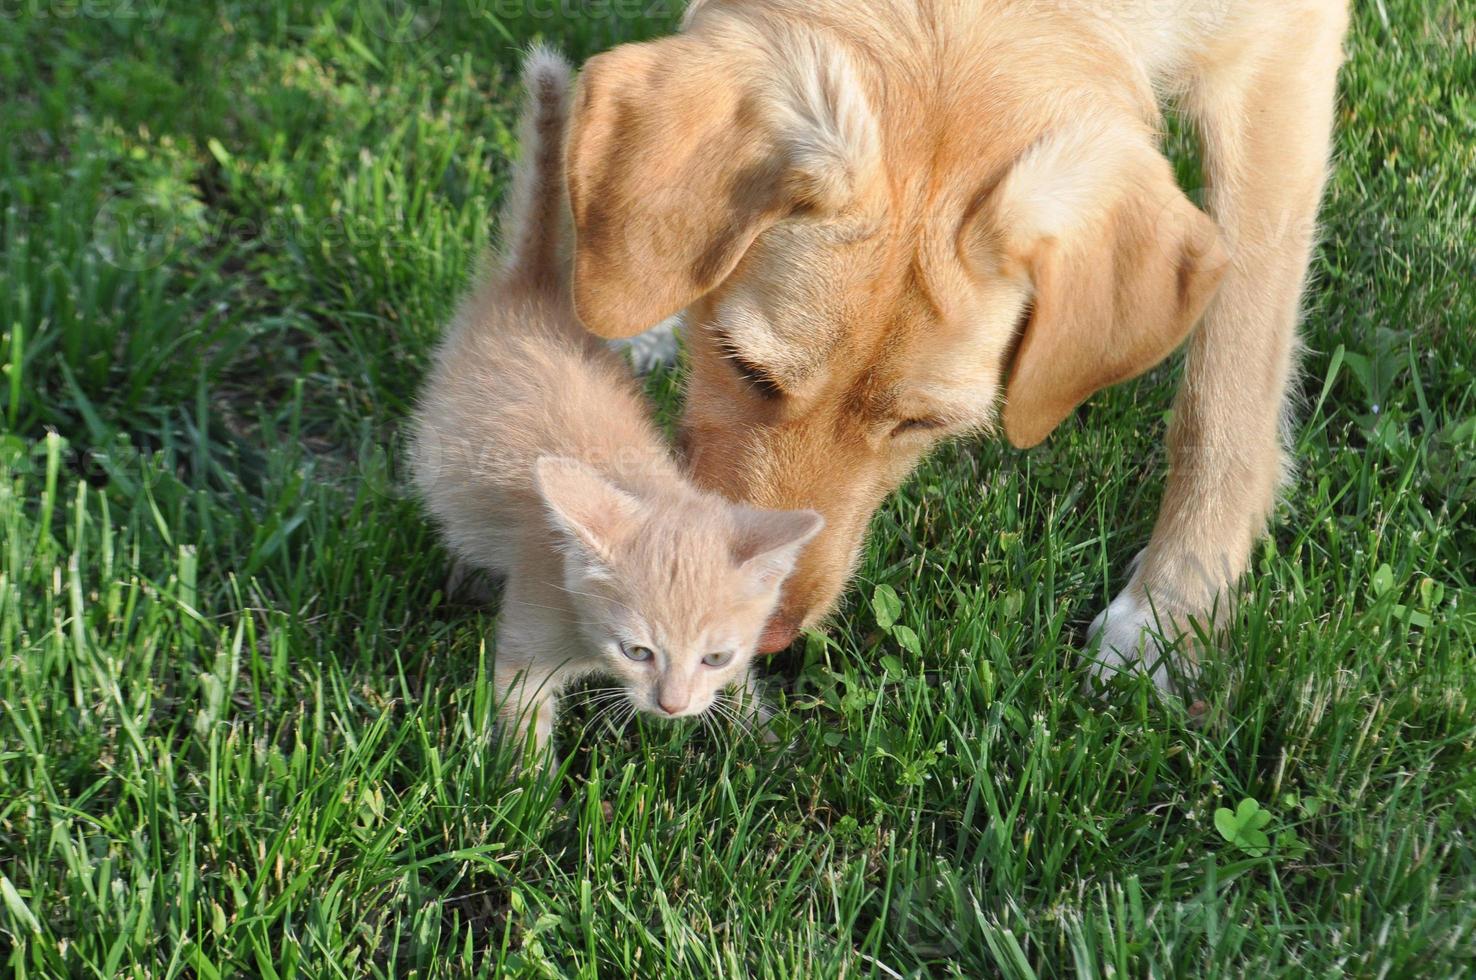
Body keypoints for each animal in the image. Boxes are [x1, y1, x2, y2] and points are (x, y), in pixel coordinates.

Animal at [407, 49, 820, 755]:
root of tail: (536, 289)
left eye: (714, 656)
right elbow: (524, 717)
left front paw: (766, 741)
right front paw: (524, 783)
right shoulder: (530, 632)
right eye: (638, 651)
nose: (673, 706)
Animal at [560, 0, 1352, 687]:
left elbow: (1225, 392)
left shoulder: (1278, 57)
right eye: (744, 367)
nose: (765, 642)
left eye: (921, 424)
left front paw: (1173, 606)